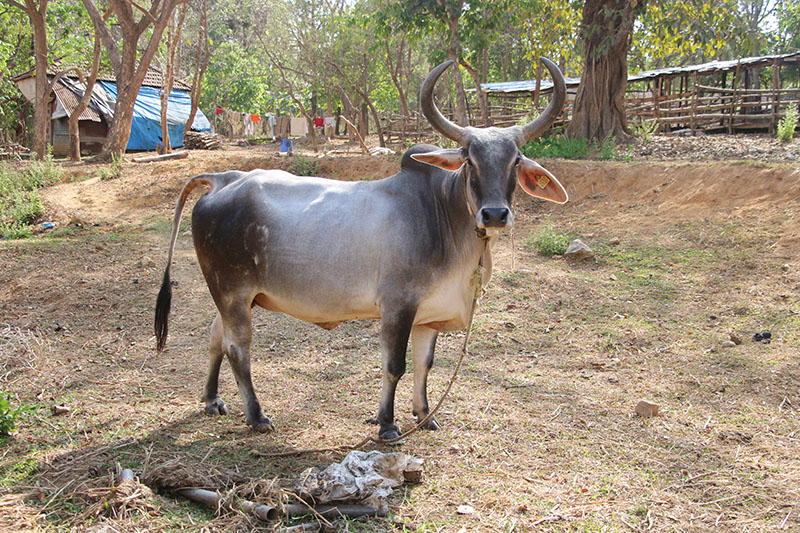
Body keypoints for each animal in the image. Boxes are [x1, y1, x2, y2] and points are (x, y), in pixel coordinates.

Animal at [155, 59, 568, 440]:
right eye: (469, 158)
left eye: (516, 160)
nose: (495, 214)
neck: (445, 218)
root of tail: (223, 179)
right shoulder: (398, 305)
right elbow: (395, 366)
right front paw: (387, 423)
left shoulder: (428, 315)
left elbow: (425, 365)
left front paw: (425, 415)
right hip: (233, 292)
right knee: (237, 348)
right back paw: (256, 416)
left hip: (231, 296)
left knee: (216, 337)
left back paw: (212, 399)